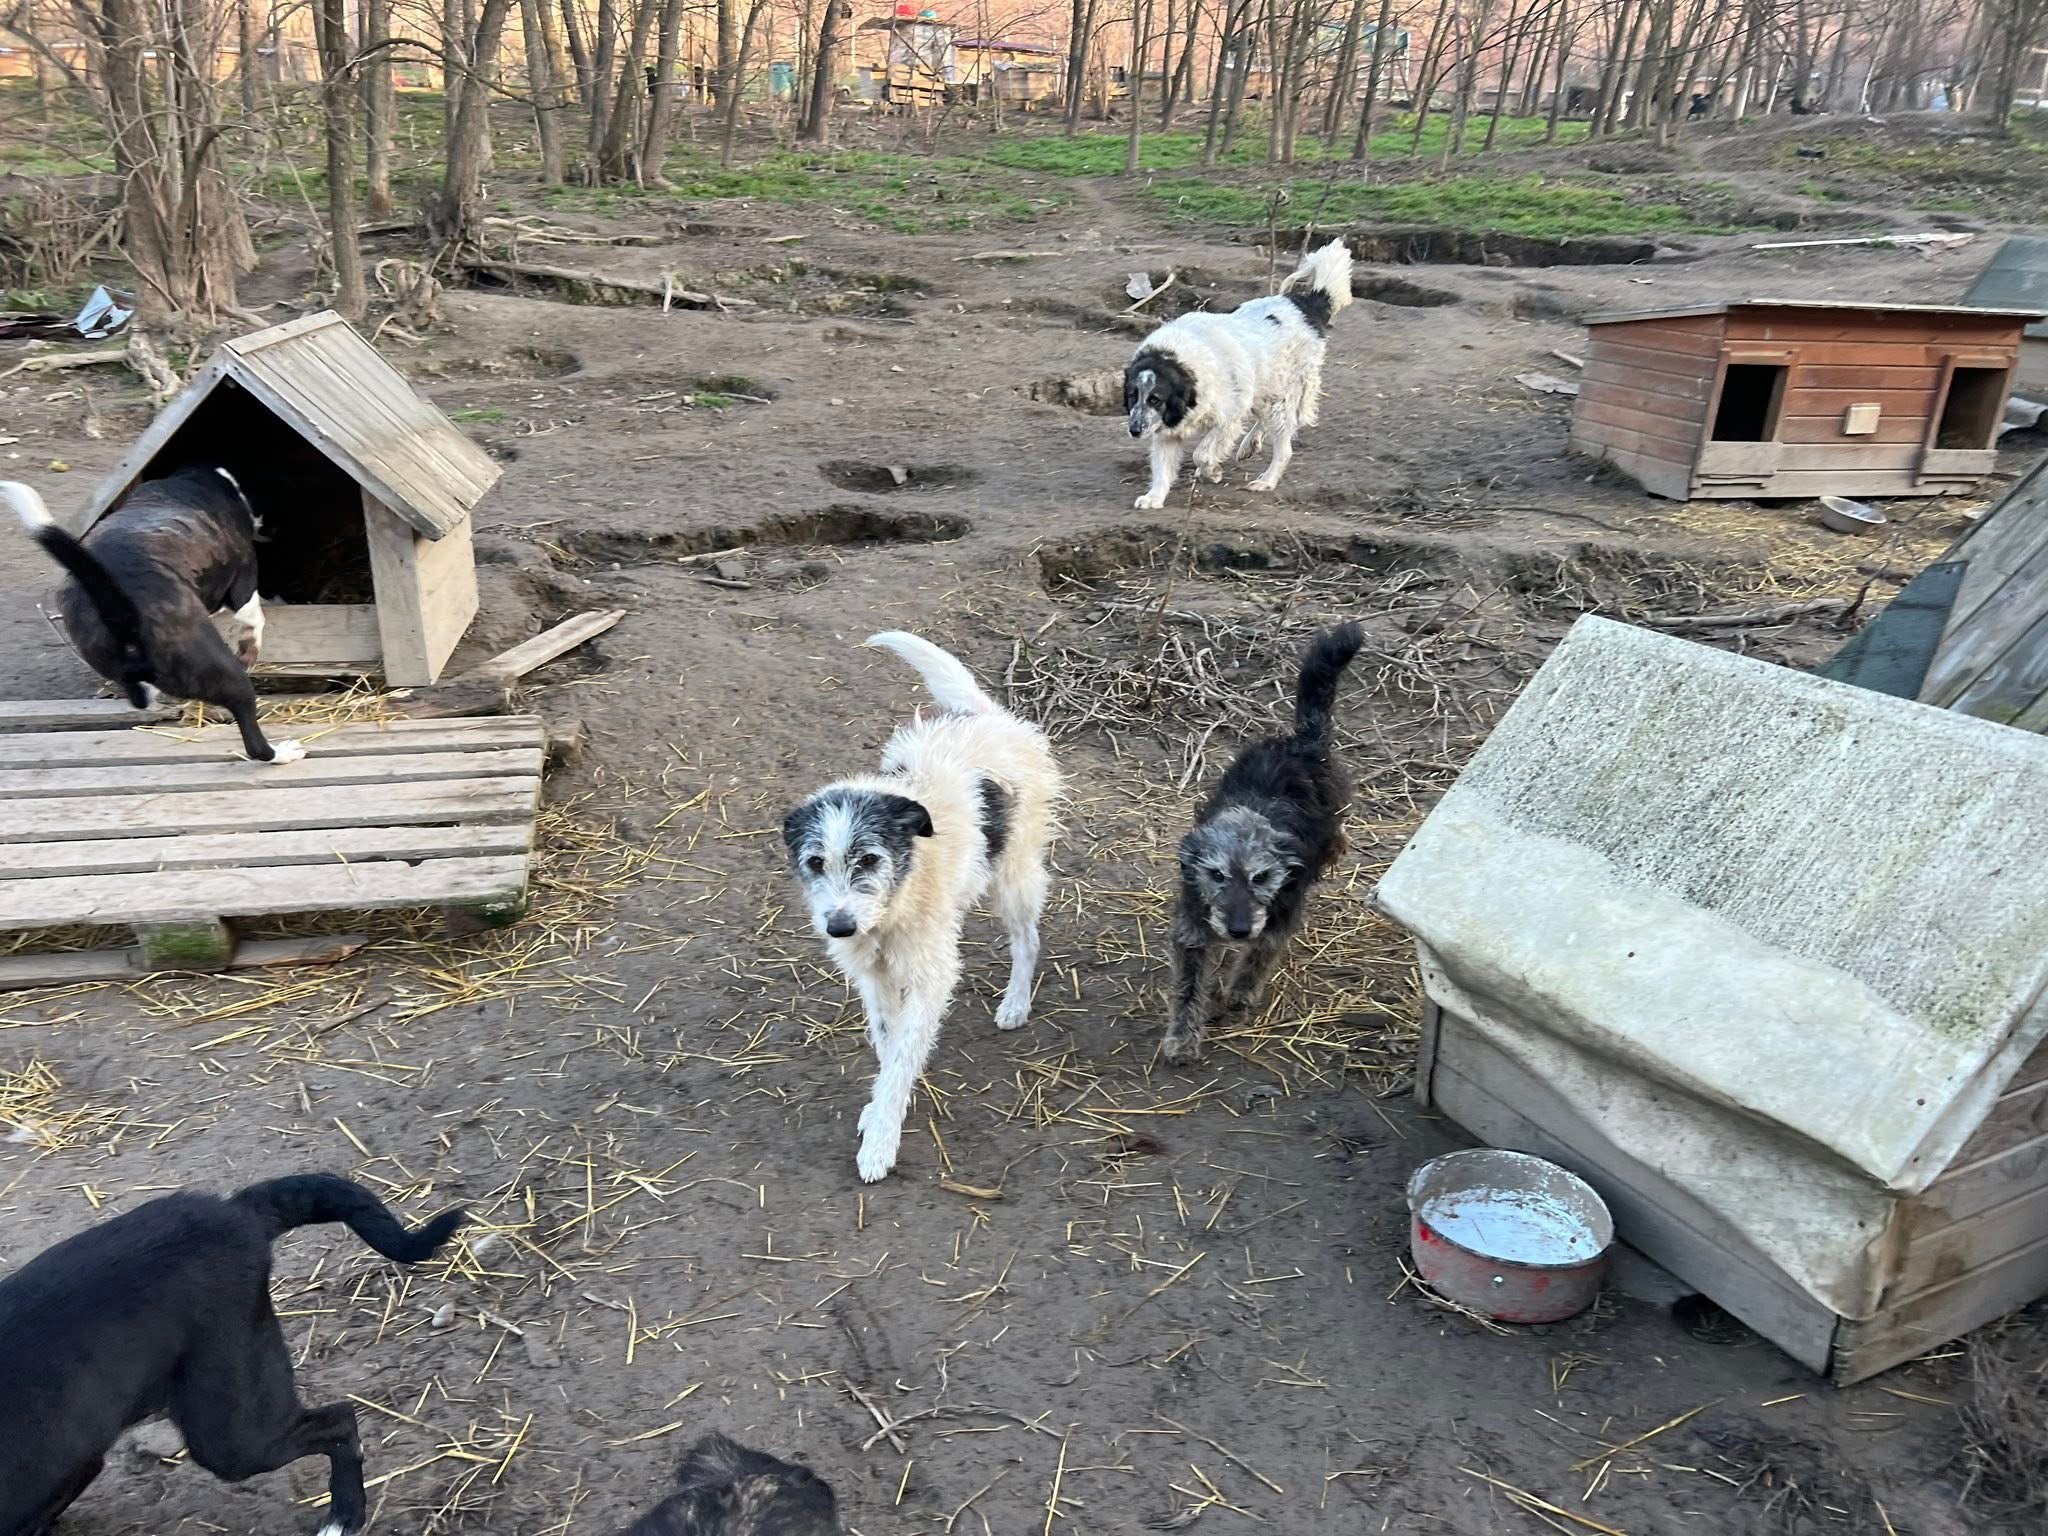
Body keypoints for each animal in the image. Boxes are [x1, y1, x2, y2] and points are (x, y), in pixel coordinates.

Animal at [3, 467, 303, 764]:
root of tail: (116, 602)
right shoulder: (243, 579)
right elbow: (254, 615)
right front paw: (252, 641)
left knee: (141, 696)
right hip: (222, 669)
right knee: (253, 739)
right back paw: (284, 752)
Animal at [782, 632, 1061, 1183]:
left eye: (869, 858)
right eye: (815, 862)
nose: (839, 927)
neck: (890, 910)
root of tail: (981, 715)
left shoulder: (931, 977)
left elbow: (902, 1057)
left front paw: (880, 1142)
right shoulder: (873, 976)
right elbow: (889, 1044)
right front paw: (876, 1111)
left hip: (1015, 875)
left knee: (1027, 940)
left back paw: (1015, 1003)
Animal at [1124, 238, 1354, 509]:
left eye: (1155, 399)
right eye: (1132, 396)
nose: (1134, 430)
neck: (1178, 360)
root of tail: (1305, 304)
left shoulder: (1227, 418)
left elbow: (1201, 453)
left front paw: (1212, 471)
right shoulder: (1167, 431)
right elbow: (1162, 470)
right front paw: (1154, 498)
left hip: (1282, 397)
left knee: (1284, 448)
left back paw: (1266, 481)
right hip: (1263, 389)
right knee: (1263, 421)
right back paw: (1250, 445)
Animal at [1164, 622, 1363, 1065]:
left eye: (1262, 877)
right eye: (1216, 875)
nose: (1237, 930)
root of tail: (1302, 740)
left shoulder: (1283, 911)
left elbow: (1260, 954)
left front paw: (1240, 992)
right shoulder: (1193, 923)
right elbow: (1188, 986)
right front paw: (1183, 1037)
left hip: (1334, 809)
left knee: (1336, 833)